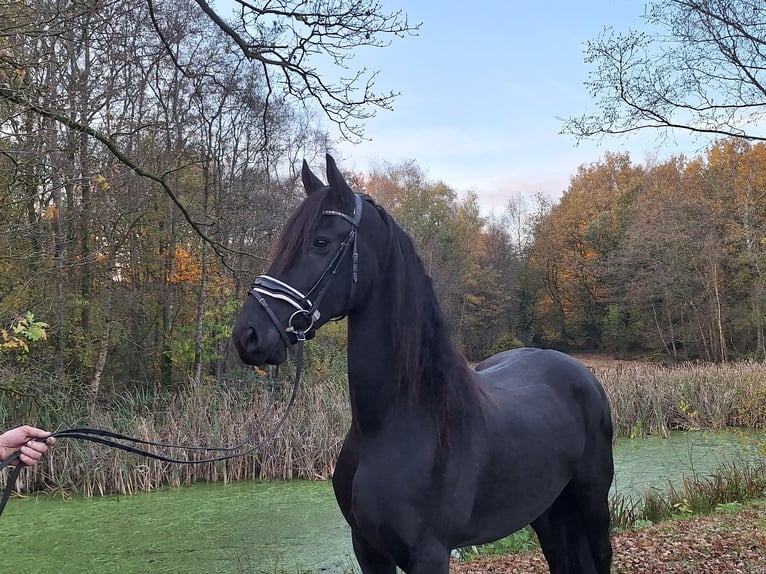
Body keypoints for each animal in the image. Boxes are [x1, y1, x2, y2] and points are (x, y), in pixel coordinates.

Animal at [232, 155, 614, 573]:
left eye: (320, 242)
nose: (248, 334)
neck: (402, 421)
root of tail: (579, 372)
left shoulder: (429, 553)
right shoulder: (368, 549)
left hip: (593, 501)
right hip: (546, 510)